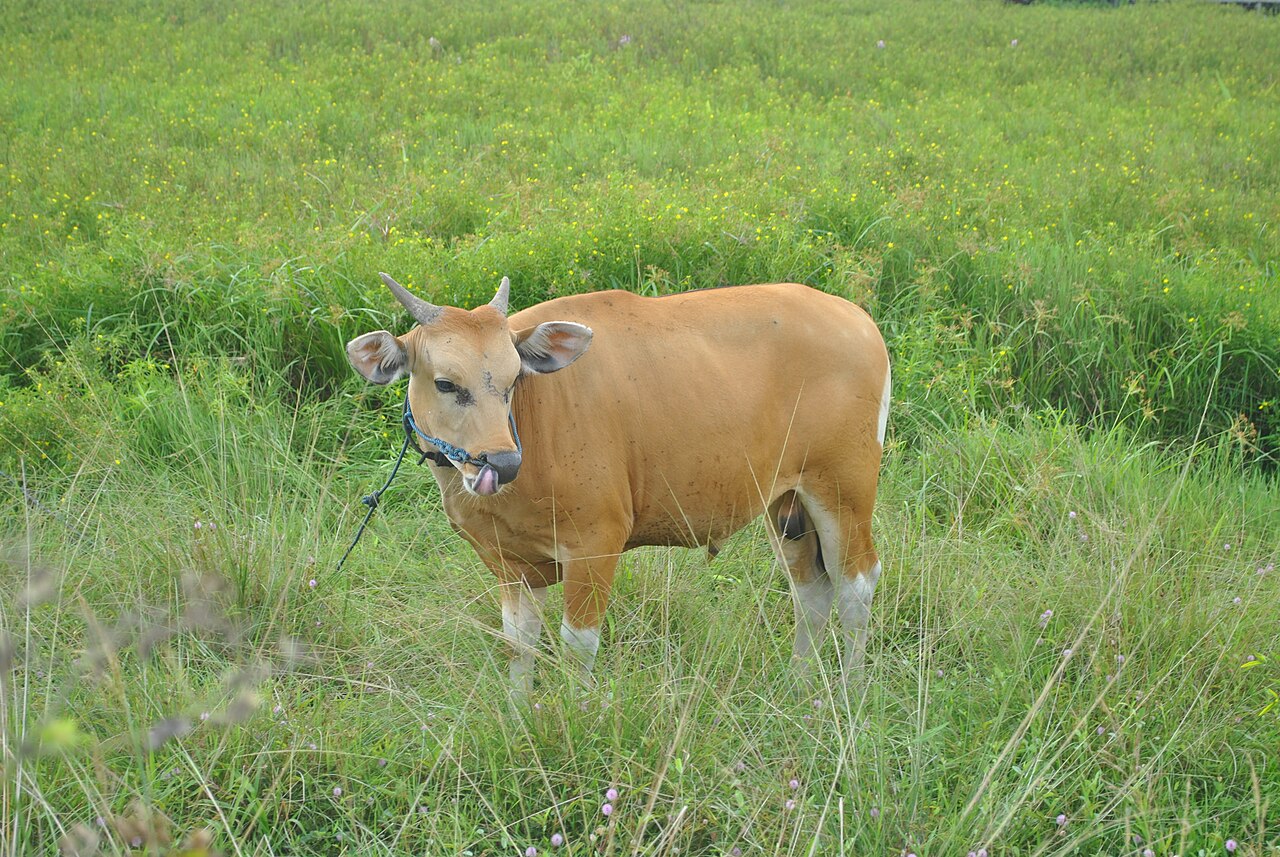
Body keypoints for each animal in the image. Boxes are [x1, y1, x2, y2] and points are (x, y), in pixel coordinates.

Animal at [346, 274, 890, 696]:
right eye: (445, 383)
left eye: (514, 378)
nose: (500, 462)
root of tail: (857, 319)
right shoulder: (509, 562)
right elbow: (519, 644)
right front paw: (518, 716)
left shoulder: (595, 544)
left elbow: (577, 645)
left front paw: (573, 716)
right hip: (787, 502)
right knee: (811, 592)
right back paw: (799, 684)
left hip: (843, 491)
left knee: (856, 588)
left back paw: (852, 690)